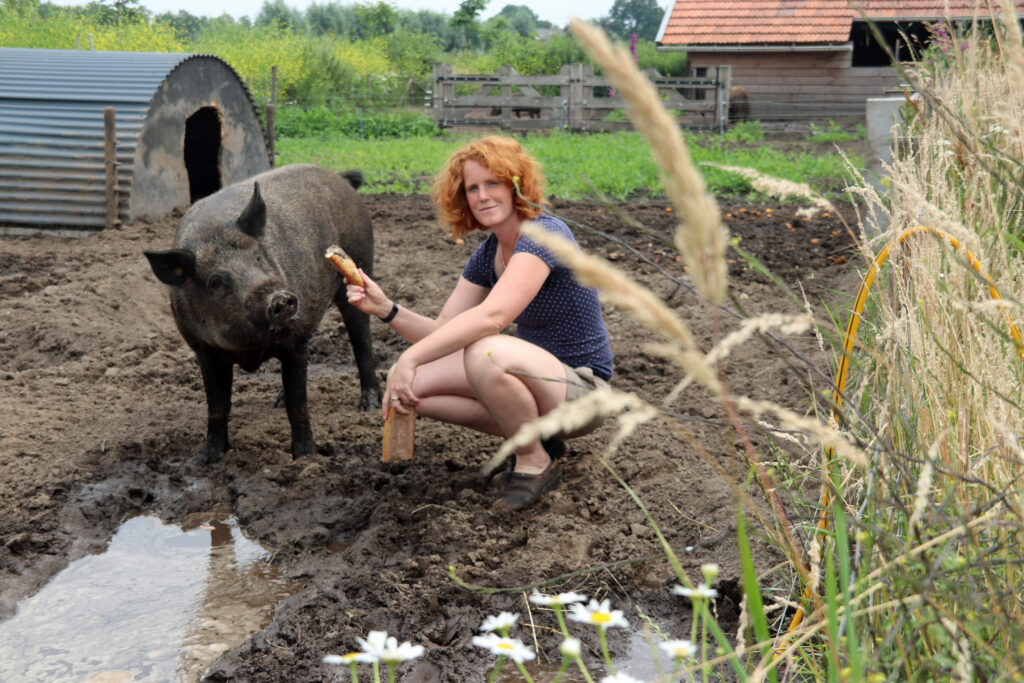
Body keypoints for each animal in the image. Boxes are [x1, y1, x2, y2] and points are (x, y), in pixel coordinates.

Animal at [144, 164, 380, 462]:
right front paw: (207, 459)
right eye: (215, 281)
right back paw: (277, 401)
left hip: (360, 265)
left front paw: (305, 458)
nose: (279, 297)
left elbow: (298, 404)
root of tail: (339, 178)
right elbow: (217, 406)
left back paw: (368, 406)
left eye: (258, 257)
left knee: (361, 341)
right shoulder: (203, 350)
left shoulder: (294, 340)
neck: (248, 346)